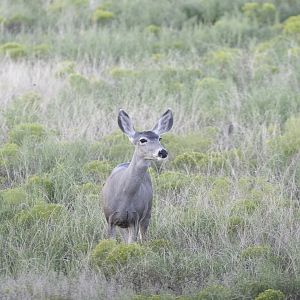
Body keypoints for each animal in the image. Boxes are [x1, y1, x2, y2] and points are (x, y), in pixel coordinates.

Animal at [103, 109, 173, 244]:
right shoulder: (110, 218)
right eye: (143, 140)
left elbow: (132, 243)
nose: (162, 152)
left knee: (143, 236)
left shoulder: (135, 218)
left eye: (160, 138)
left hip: (148, 211)